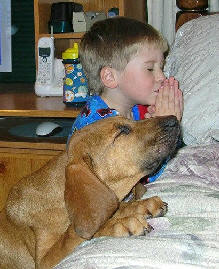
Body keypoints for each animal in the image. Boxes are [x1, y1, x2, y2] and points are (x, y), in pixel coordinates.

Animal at [0, 114, 180, 266]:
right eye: (122, 131)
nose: (175, 120)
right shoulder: (44, 261)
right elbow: (75, 234)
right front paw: (121, 224)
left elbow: (114, 206)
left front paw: (143, 205)